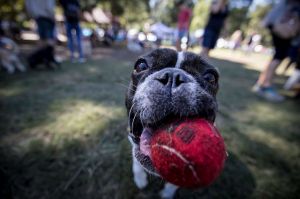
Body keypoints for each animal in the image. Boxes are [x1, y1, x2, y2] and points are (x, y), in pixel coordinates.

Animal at [125, 48, 219, 199]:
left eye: (211, 77)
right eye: (141, 65)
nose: (173, 76)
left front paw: (167, 194)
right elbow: (137, 163)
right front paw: (140, 180)